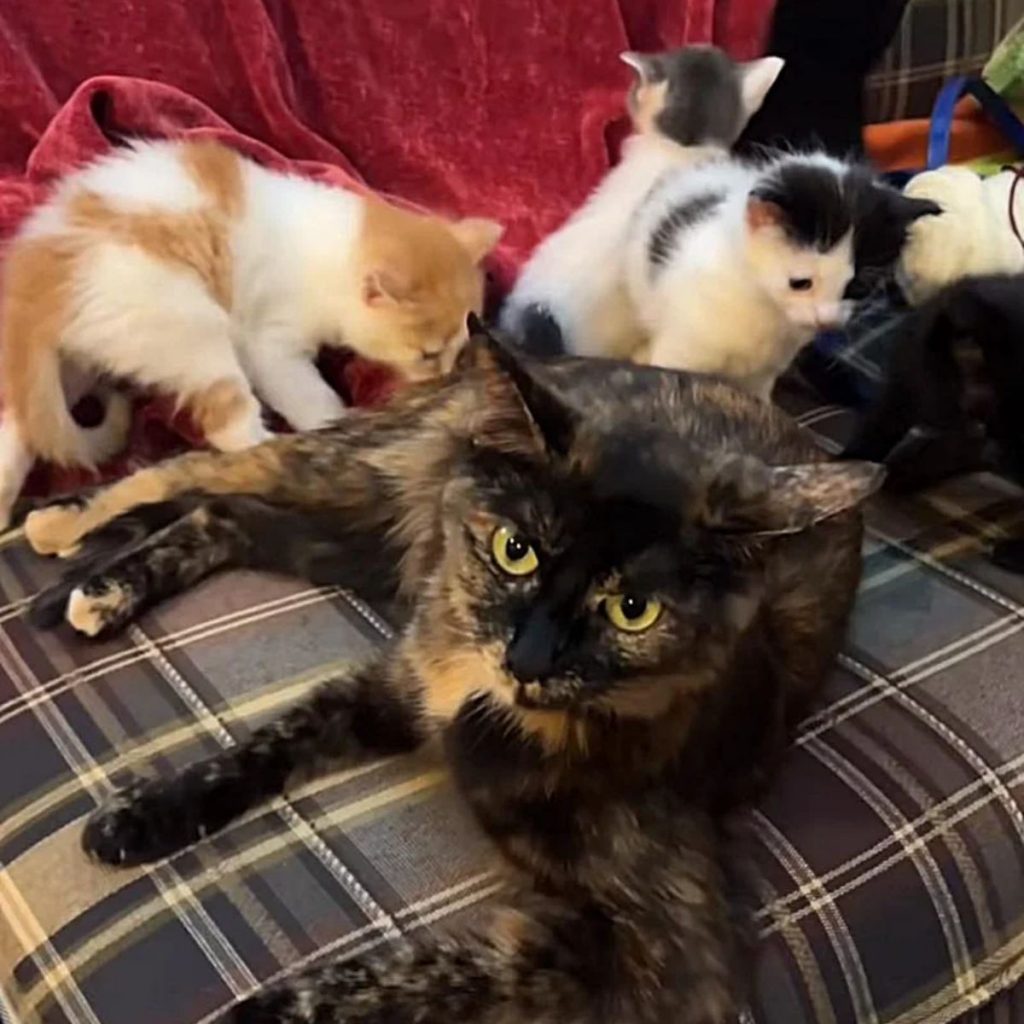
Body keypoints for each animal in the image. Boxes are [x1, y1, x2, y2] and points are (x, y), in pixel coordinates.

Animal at [0, 142, 503, 528]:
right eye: (427, 355)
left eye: (461, 345)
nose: (447, 375)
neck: (333, 252)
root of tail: (36, 282)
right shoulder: (269, 343)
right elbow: (310, 399)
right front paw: (330, 426)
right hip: (189, 327)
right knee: (228, 428)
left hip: (63, 374)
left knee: (16, 433)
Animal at [24, 323, 880, 1019]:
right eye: (515, 550)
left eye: (632, 609)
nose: (527, 659)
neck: (495, 722)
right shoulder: (398, 682)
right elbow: (259, 747)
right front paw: (141, 815)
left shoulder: (674, 953)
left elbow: (435, 975)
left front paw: (267, 1012)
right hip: (358, 481)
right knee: (200, 471)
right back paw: (68, 542)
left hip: (356, 546)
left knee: (225, 514)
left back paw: (95, 582)